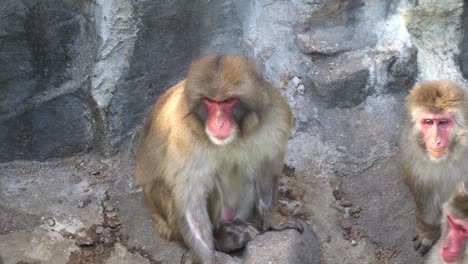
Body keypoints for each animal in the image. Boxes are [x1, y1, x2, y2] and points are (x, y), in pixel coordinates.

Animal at [135, 54, 304, 262]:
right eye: (210, 101)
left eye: (228, 101)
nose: (219, 123)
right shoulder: (184, 137)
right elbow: (191, 196)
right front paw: (207, 257)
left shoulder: (275, 116)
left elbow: (266, 166)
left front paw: (274, 219)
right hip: (170, 222)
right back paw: (223, 238)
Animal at [398, 81, 468, 256]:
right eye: (428, 122)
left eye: (443, 122)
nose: (436, 140)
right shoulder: (410, 152)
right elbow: (423, 187)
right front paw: (428, 232)